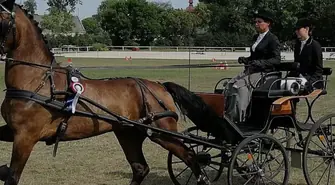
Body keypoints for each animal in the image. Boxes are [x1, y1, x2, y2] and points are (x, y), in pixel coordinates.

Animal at [0, 0, 234, 184]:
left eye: (1, 20)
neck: (37, 80)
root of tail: (158, 85)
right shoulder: (14, 132)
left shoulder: (26, 137)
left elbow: (13, 177)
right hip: (128, 133)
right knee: (141, 168)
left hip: (162, 133)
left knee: (191, 156)